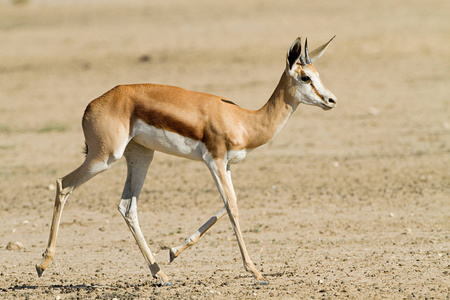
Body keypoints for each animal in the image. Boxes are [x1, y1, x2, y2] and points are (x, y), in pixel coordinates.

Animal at [37, 36, 336, 284]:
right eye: (305, 77)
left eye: (318, 74)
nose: (331, 100)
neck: (245, 120)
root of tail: (92, 105)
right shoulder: (214, 161)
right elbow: (232, 207)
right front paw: (255, 272)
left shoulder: (226, 165)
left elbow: (229, 204)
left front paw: (173, 251)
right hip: (104, 157)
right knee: (63, 185)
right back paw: (42, 264)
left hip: (141, 155)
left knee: (127, 207)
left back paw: (161, 274)